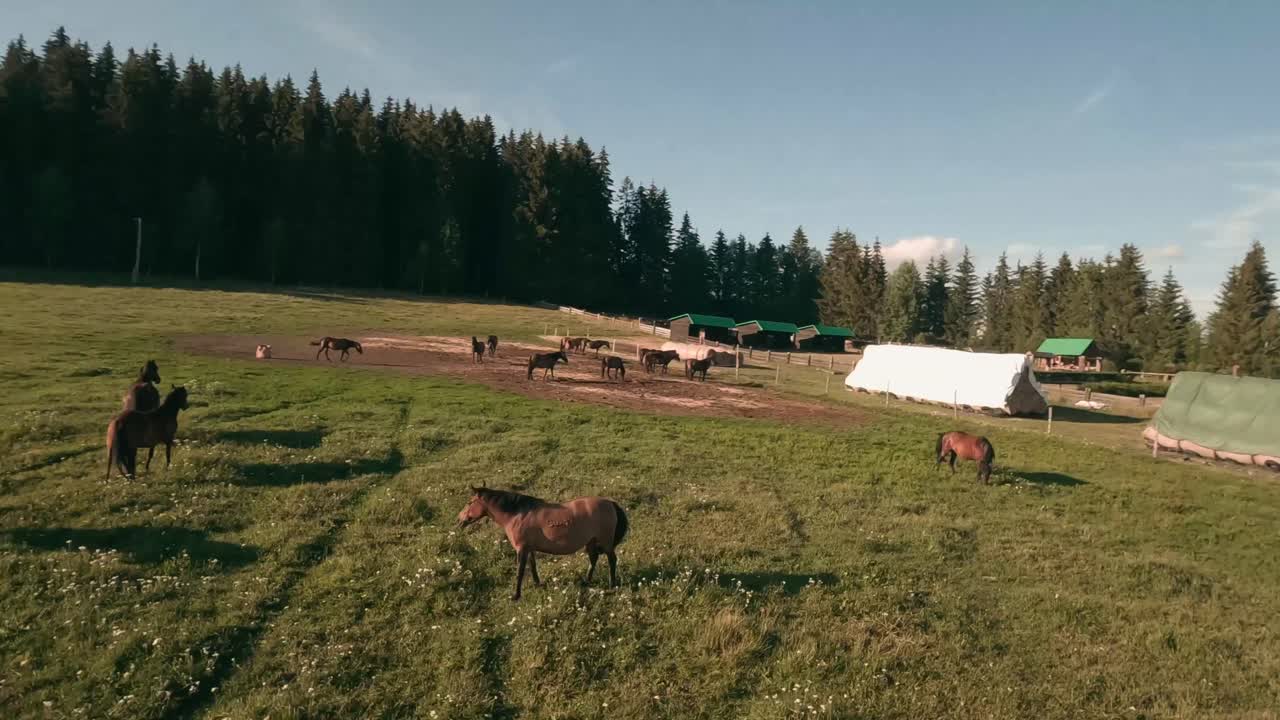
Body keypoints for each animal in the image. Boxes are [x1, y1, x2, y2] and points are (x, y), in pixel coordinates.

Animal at [457, 487, 629, 601]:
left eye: (469, 502)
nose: (459, 519)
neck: (518, 514)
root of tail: (611, 503)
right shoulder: (529, 548)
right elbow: (533, 567)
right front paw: (537, 584)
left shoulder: (521, 549)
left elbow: (520, 572)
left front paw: (516, 595)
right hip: (591, 541)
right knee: (593, 559)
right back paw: (586, 581)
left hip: (605, 543)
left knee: (612, 560)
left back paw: (612, 585)